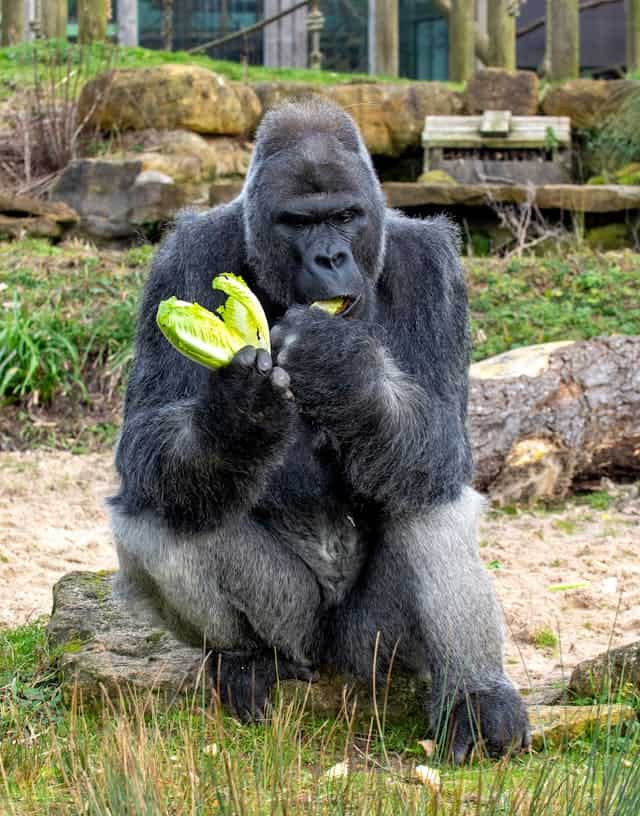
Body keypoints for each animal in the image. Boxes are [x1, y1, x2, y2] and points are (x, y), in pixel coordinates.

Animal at [111, 99, 528, 760]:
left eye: (344, 216)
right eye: (298, 222)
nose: (330, 258)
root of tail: (330, 663)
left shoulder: (433, 266)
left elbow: (443, 438)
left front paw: (338, 365)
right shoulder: (181, 256)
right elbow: (145, 439)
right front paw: (238, 413)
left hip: (373, 651)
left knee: (427, 491)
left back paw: (476, 698)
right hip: (301, 630)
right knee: (158, 509)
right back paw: (249, 660)